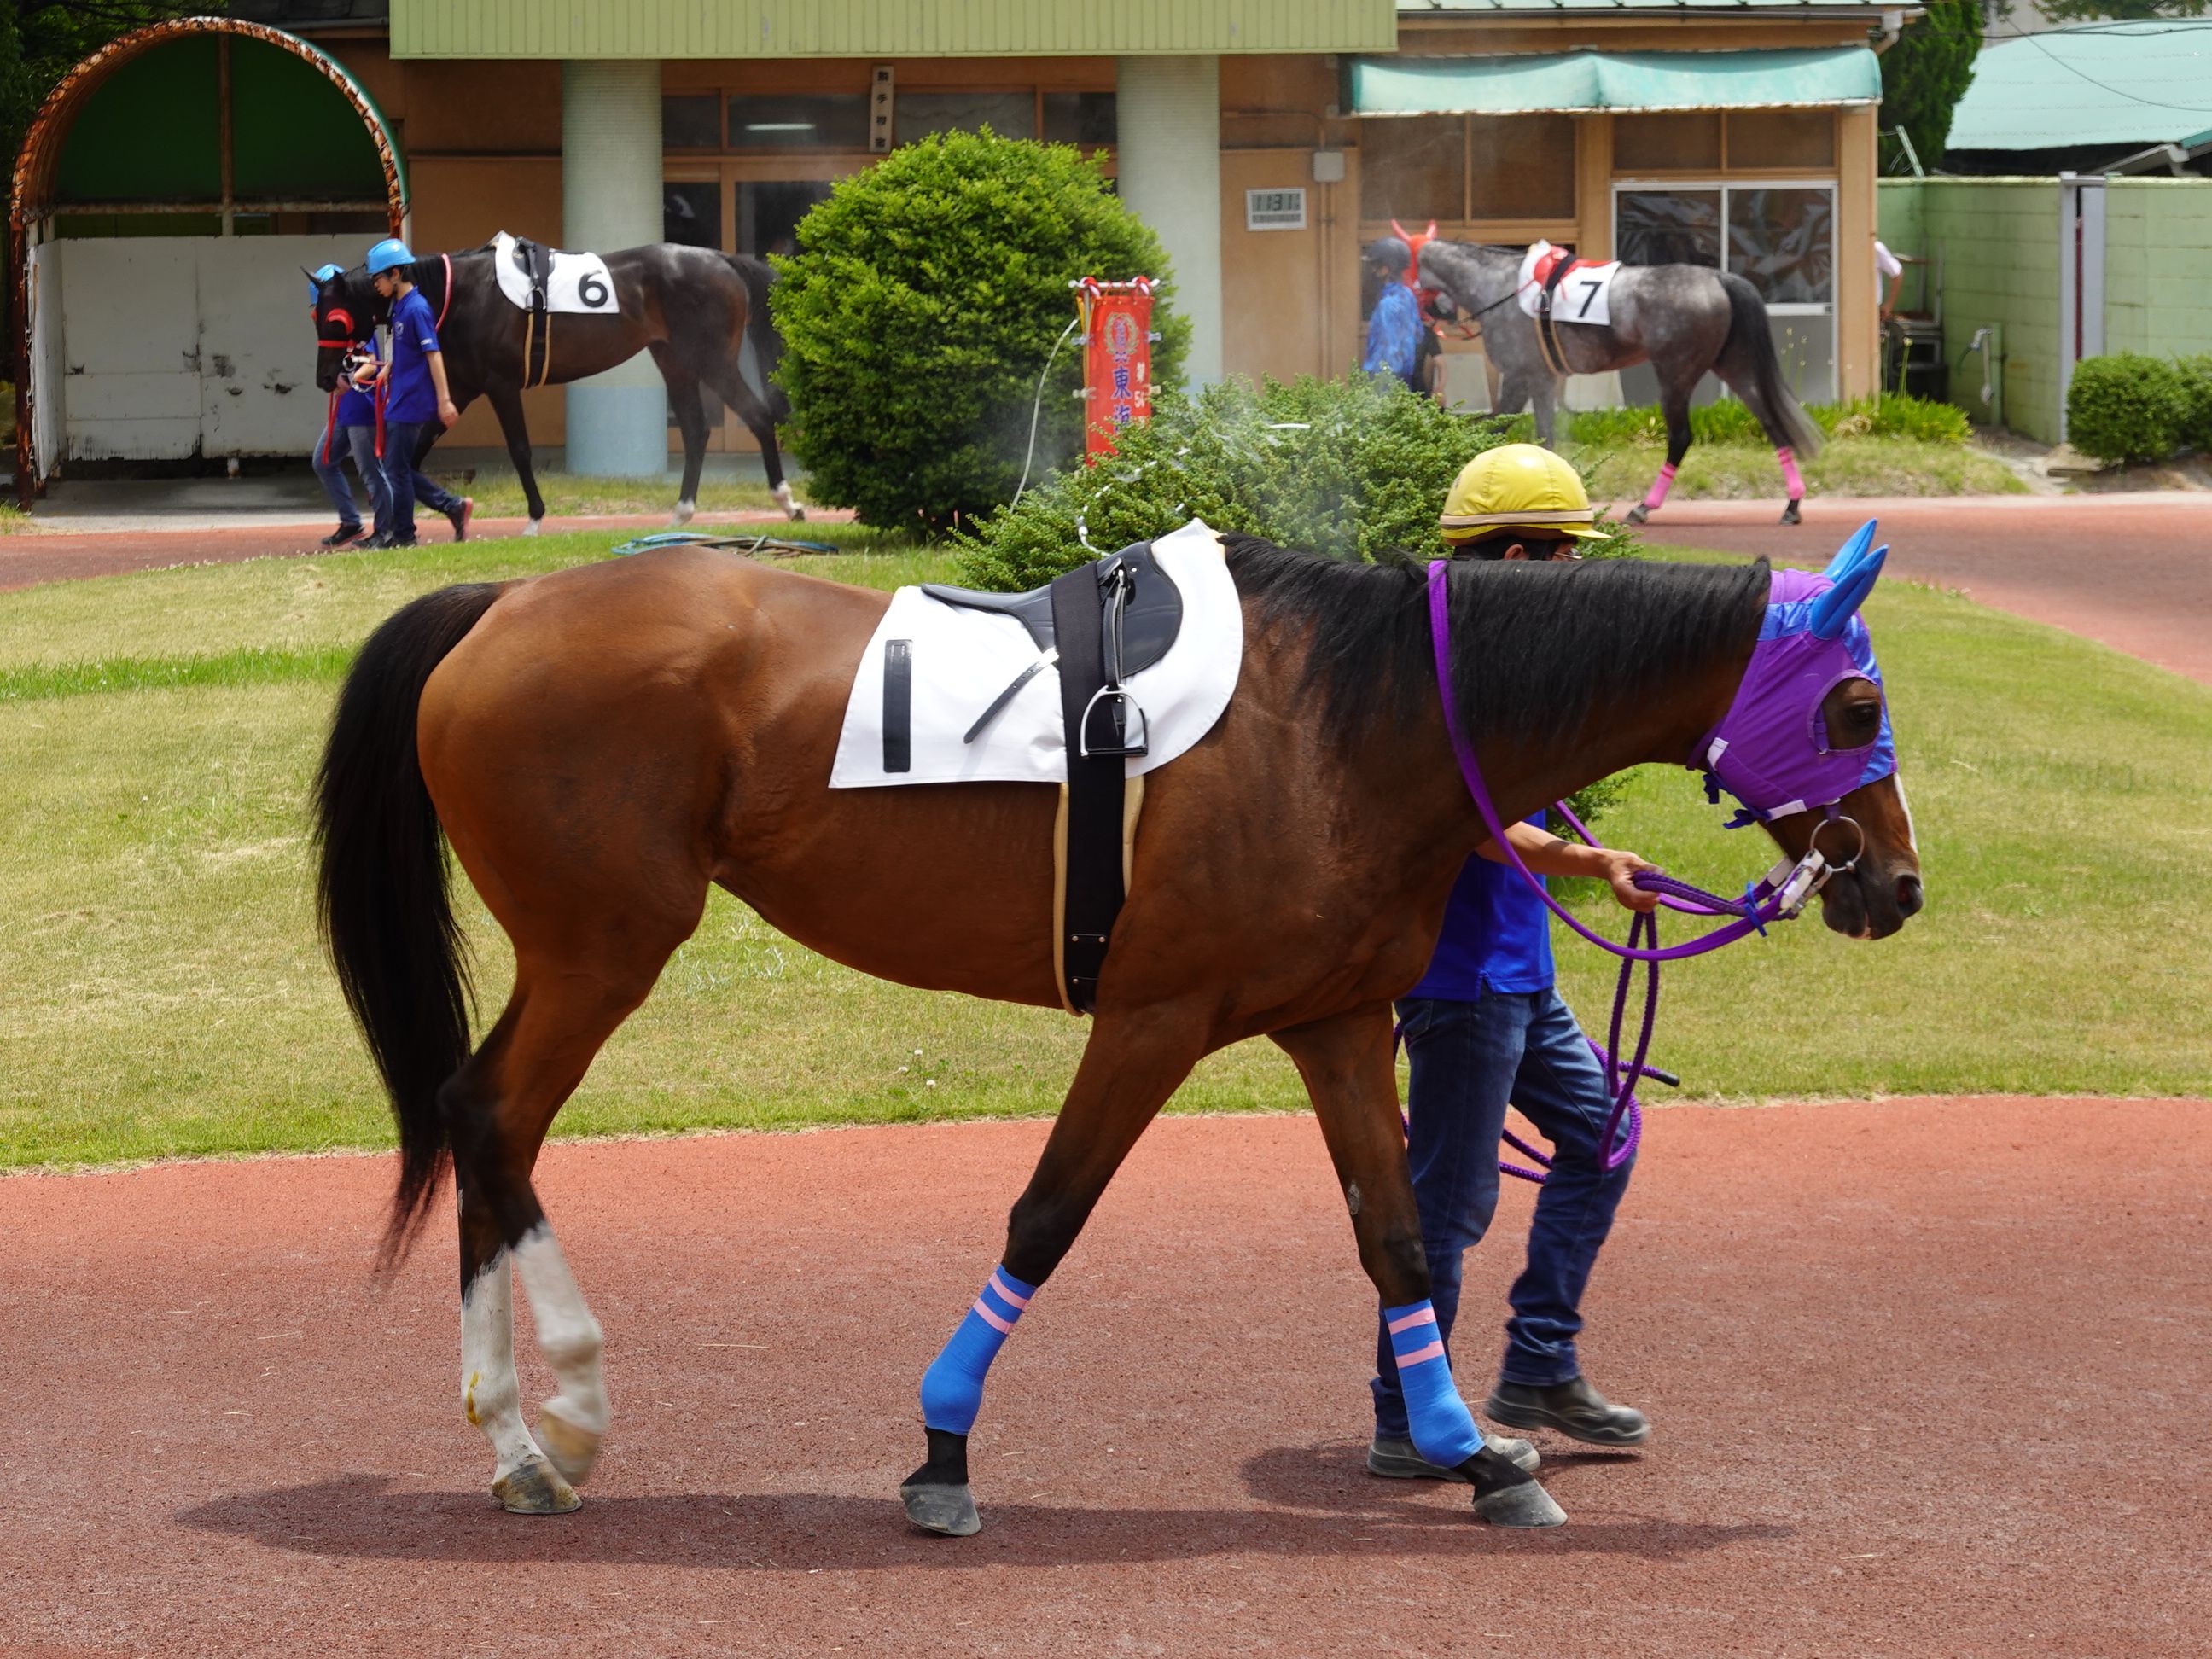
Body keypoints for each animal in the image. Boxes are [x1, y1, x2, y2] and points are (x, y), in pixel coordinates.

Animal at [309, 243, 801, 534]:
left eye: (334, 318)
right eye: (316, 316)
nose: (326, 377)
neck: (462, 292)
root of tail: (722, 259)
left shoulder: (501, 385)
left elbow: (520, 450)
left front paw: (533, 518)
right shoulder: (462, 389)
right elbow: (411, 456)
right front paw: (447, 513)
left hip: (711, 359)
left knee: (757, 416)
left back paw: (787, 501)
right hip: (674, 360)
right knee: (698, 430)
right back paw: (681, 512)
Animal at [311, 532, 1923, 1532]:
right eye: (1855, 703)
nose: (1898, 883)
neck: (1354, 722)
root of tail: (500, 602)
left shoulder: (1338, 1021)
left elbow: (1399, 1240)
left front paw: (1476, 1457)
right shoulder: (1154, 1015)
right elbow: (1047, 1213)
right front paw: (942, 1447)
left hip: (586, 948)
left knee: (487, 1117)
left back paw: (517, 1435)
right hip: (604, 944)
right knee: (490, 1115)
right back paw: (560, 1412)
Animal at [1412, 239, 1825, 528]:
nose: (1435, 315)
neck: (1501, 286)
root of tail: (1718, 277)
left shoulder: (1520, 376)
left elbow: (1498, 430)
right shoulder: (1537, 380)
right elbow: (1539, 438)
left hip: (1675, 372)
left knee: (1680, 437)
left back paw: (1644, 507)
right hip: (1733, 366)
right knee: (1771, 422)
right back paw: (1792, 504)